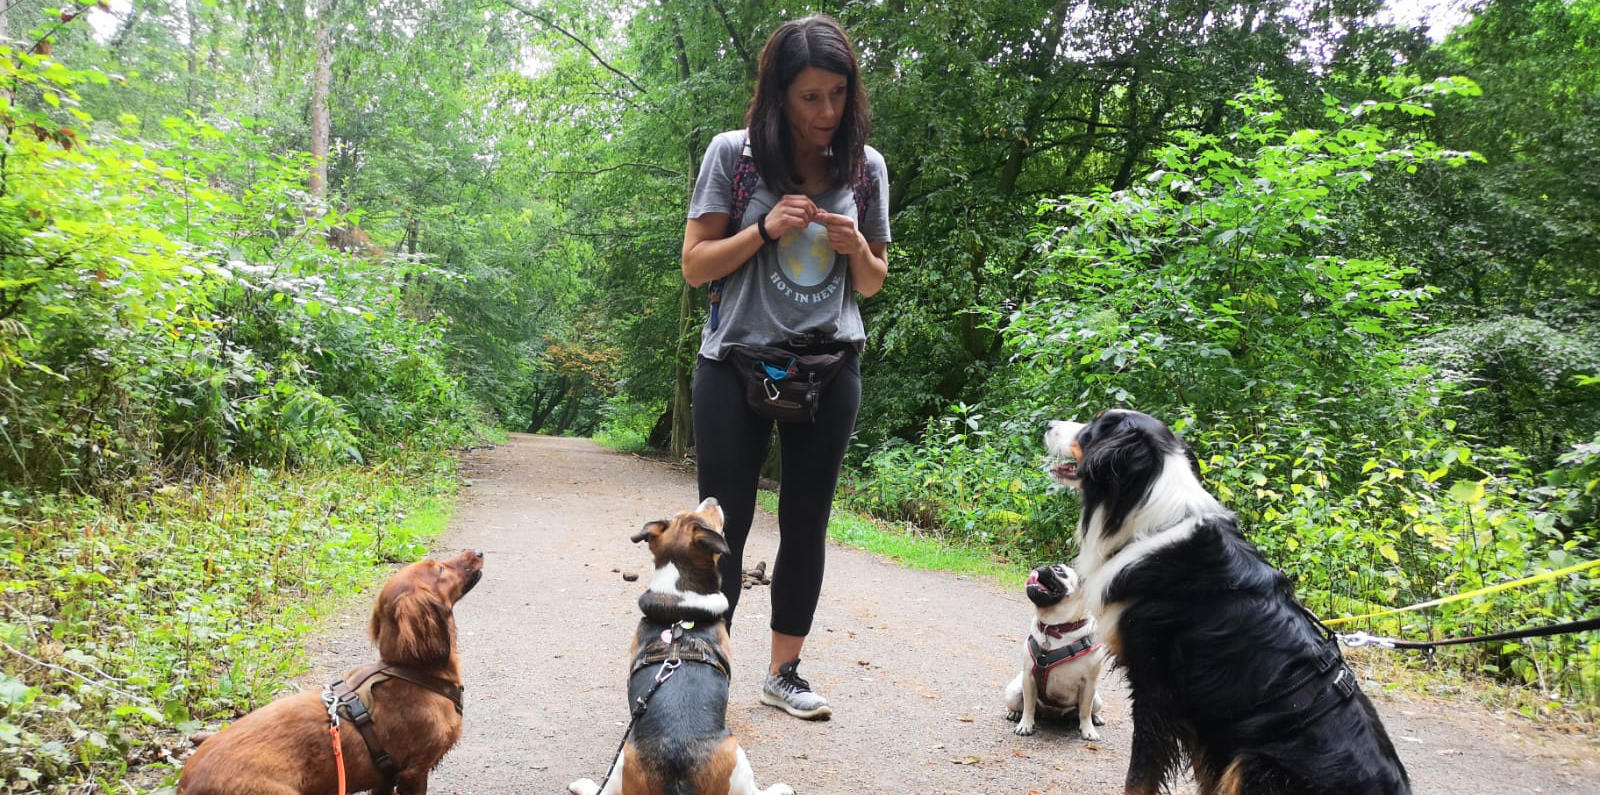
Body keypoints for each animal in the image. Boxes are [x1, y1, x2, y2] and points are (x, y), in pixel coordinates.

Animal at [569, 495, 793, 793]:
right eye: (703, 520)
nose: (712, 498)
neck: (680, 611)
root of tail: (676, 768)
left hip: (622, 763)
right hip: (737, 757)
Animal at [1043, 412, 1408, 790]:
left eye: (1093, 428)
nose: (1048, 424)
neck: (1154, 526)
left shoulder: (1156, 689)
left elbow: (1139, 778)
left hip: (1253, 763)